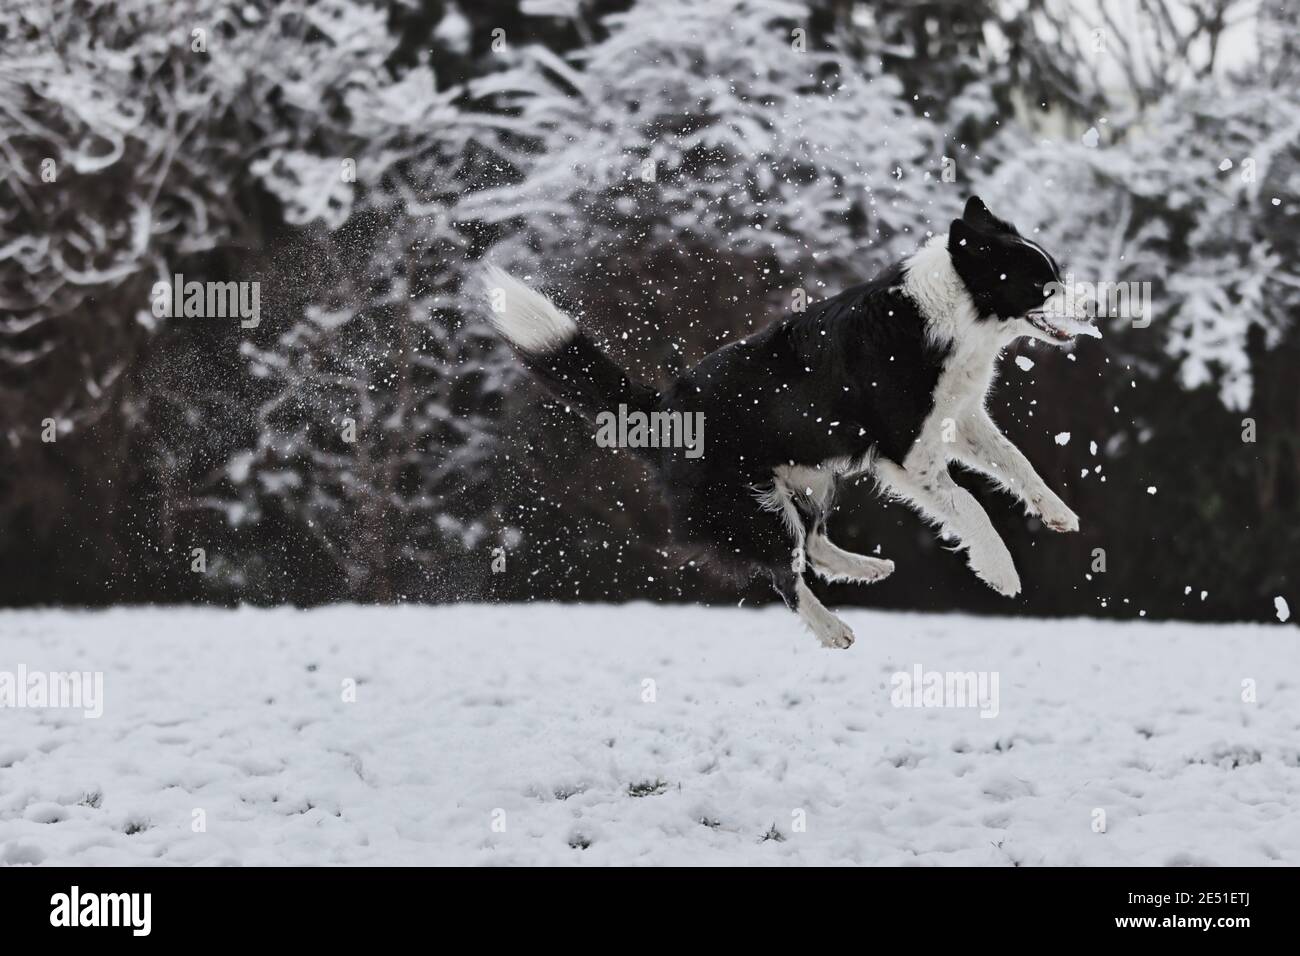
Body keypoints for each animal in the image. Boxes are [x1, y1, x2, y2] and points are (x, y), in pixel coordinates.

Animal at [488, 197, 1097, 647]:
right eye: (1043, 285)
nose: (1095, 308)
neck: (953, 316)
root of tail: (660, 409)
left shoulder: (959, 418)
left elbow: (1017, 463)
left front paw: (1059, 513)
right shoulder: (908, 453)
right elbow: (969, 505)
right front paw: (1000, 571)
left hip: (810, 474)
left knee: (812, 542)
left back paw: (865, 568)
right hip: (749, 502)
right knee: (785, 568)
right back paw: (832, 628)